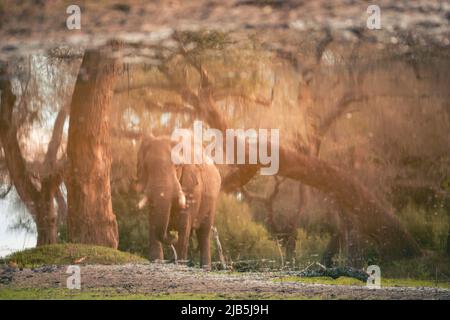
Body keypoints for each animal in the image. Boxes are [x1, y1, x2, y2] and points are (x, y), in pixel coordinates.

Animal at [136, 134, 222, 268]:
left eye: (177, 166)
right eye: (146, 166)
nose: (173, 234)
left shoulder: (191, 187)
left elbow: (183, 225)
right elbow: (153, 221)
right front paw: (156, 262)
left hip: (212, 200)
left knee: (204, 233)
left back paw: (205, 268)